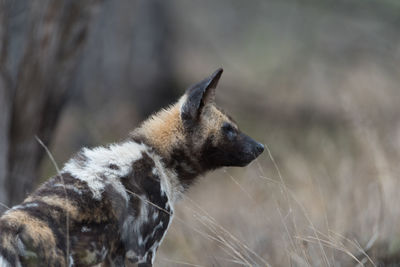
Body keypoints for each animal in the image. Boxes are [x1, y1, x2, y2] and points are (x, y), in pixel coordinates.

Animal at [0, 69, 264, 267]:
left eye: (235, 126)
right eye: (228, 129)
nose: (261, 147)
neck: (160, 156)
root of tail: (12, 229)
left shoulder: (114, 257)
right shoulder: (141, 253)